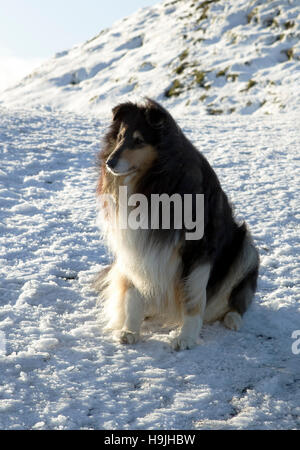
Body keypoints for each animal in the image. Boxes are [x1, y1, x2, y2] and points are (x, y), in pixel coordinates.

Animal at [95, 99, 258, 352]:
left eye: (139, 140)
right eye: (120, 137)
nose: (110, 162)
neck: (153, 182)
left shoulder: (198, 250)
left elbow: (193, 296)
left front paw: (186, 337)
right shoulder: (135, 246)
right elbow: (133, 293)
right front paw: (130, 330)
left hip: (246, 249)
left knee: (236, 301)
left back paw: (232, 319)